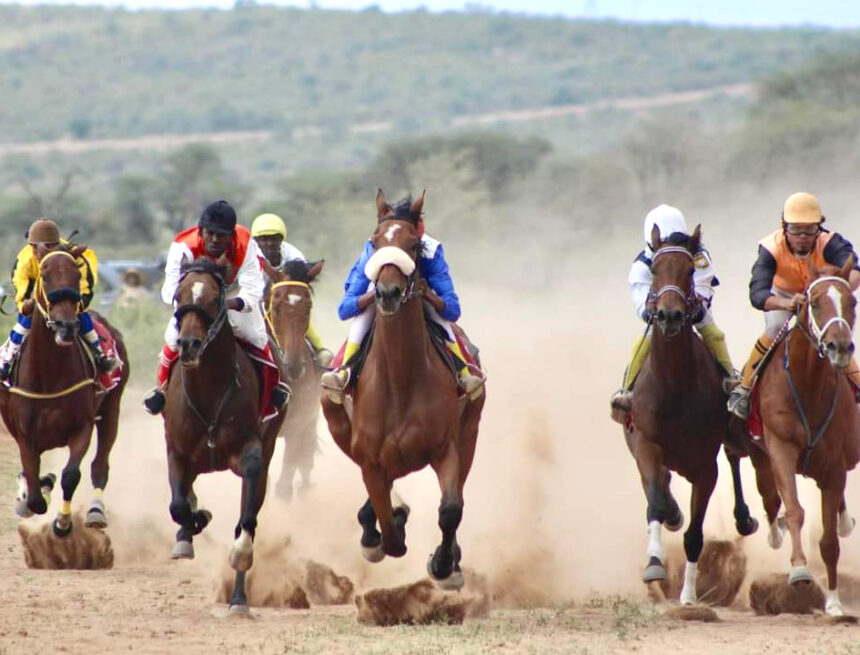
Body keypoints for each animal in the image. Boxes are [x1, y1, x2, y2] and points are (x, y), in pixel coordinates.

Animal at [0, 245, 129, 536]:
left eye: (75, 274)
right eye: (45, 276)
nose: (67, 325)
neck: (49, 375)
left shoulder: (81, 427)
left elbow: (71, 475)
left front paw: (63, 522)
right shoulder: (25, 434)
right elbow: (34, 487)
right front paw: (33, 493)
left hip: (112, 409)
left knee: (100, 466)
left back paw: (95, 512)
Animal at [162, 255, 286, 613]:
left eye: (215, 299)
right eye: (179, 296)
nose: (188, 345)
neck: (210, 392)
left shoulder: (252, 454)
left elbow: (246, 522)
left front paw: (240, 557)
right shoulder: (177, 451)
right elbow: (179, 505)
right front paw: (193, 523)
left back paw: (239, 598)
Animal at [321, 190, 485, 589]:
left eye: (413, 245)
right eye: (376, 241)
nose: (388, 293)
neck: (400, 380)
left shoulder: (447, 447)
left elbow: (451, 510)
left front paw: (444, 565)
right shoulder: (369, 457)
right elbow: (390, 535)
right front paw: (381, 530)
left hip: (470, 431)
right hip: (339, 427)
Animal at [623, 224, 758, 605]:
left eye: (688, 271)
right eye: (655, 270)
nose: (669, 316)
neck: (674, 387)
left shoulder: (704, 465)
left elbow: (695, 535)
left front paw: (688, 596)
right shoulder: (647, 444)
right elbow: (654, 501)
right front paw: (654, 564)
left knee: (735, 456)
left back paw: (744, 518)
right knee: (660, 485)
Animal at [744, 257, 859, 617]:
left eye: (852, 302)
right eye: (815, 302)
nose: (839, 347)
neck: (808, 386)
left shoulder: (834, 465)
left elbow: (829, 540)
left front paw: (834, 602)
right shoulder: (780, 448)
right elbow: (793, 510)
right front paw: (798, 571)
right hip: (761, 458)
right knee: (770, 499)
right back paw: (774, 533)